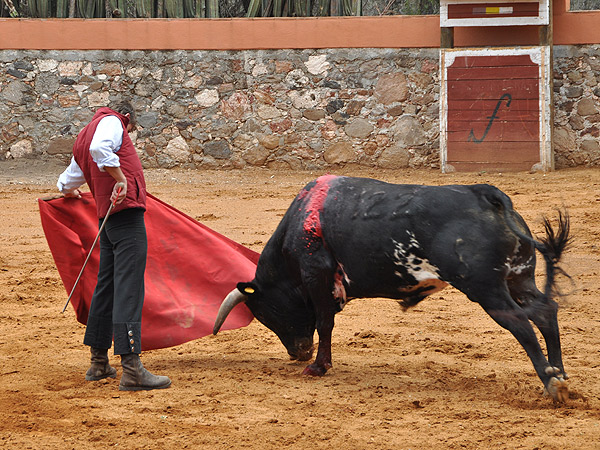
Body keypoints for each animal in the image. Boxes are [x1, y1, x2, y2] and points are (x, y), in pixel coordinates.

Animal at [213, 175, 568, 400]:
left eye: (267, 314)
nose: (298, 354)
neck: (301, 221)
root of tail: (487, 195)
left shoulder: (317, 275)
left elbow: (324, 323)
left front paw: (318, 367)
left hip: (486, 288)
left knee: (521, 323)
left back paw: (551, 383)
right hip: (519, 278)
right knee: (545, 311)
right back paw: (559, 376)